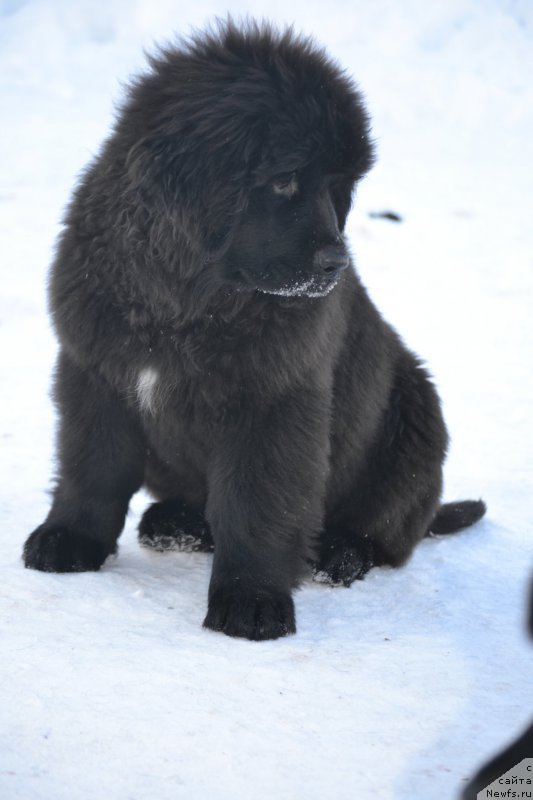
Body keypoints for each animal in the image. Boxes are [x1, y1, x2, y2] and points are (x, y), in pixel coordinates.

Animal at [22, 21, 484, 640]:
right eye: (284, 181)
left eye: (338, 185)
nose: (336, 263)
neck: (182, 306)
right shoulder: (95, 371)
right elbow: (91, 465)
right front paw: (70, 539)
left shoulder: (271, 402)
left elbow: (256, 504)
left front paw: (251, 601)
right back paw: (177, 523)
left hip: (413, 415)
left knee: (384, 531)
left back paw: (338, 553)